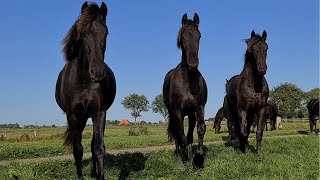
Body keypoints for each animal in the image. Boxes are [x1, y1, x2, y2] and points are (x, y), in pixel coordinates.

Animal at [55, 2, 116, 179]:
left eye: (106, 32)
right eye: (82, 33)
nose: (98, 73)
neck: (83, 80)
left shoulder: (99, 113)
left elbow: (98, 147)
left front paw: (100, 175)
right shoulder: (73, 115)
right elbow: (77, 149)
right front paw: (80, 175)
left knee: (93, 144)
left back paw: (94, 173)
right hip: (80, 118)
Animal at [162, 13, 208, 169]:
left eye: (199, 36)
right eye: (182, 37)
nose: (193, 64)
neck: (188, 82)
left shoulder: (199, 107)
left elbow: (200, 129)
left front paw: (198, 157)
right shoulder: (177, 111)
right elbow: (181, 135)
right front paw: (186, 160)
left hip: (191, 114)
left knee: (189, 135)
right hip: (173, 113)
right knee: (177, 133)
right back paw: (180, 153)